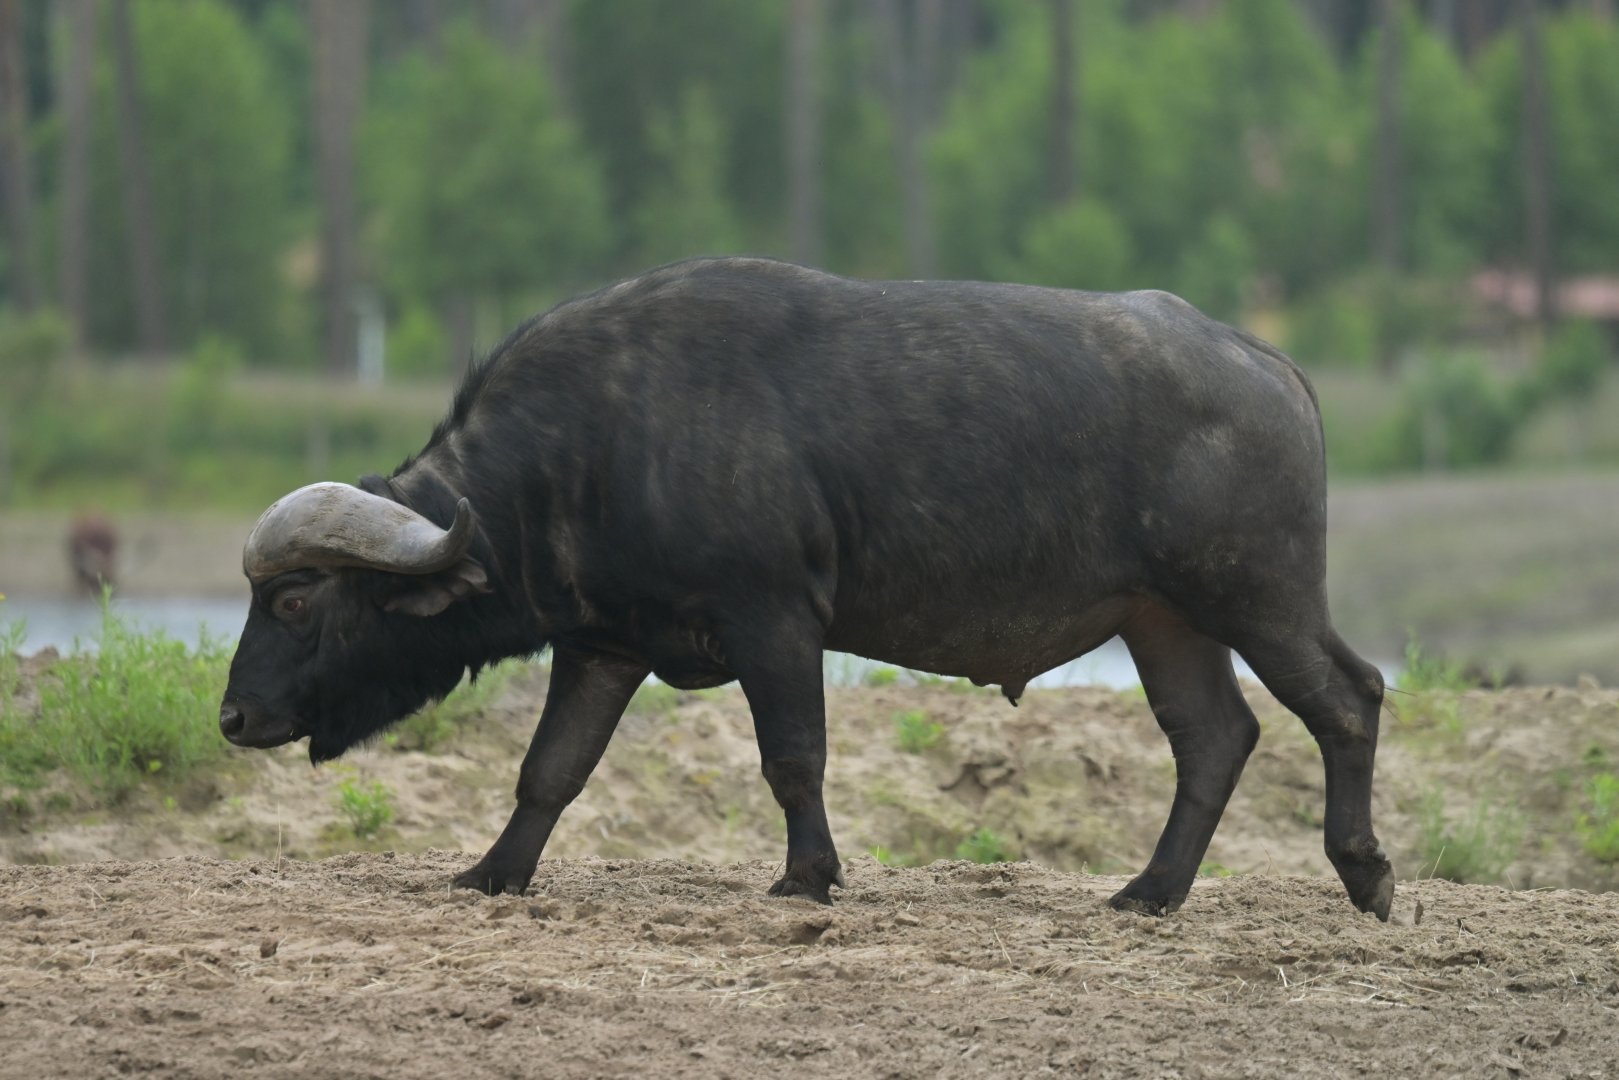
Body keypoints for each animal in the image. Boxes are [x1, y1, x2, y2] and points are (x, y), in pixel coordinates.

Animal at [219, 258, 1394, 919]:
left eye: (294, 601)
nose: (232, 717)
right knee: (1214, 737)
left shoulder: (774, 621)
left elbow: (792, 758)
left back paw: (1363, 872)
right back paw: (1149, 893)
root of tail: (1266, 366)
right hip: (1164, 621)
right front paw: (493, 873)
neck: (592, 447)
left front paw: (807, 877)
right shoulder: (603, 645)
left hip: (1257, 597)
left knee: (1347, 697)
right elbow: (548, 771)